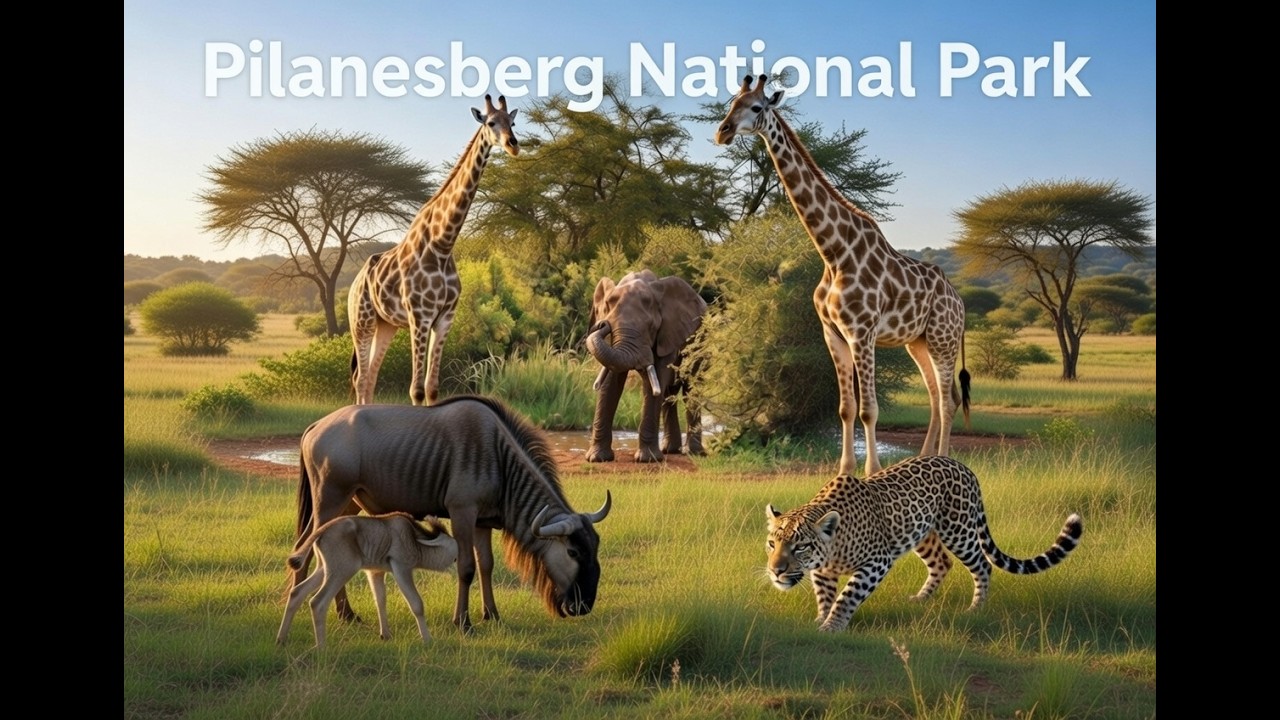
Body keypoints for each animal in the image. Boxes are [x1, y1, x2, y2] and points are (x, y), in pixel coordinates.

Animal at [584, 270, 707, 463]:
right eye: (608, 323)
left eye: (651, 327)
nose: (602, 324)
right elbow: (611, 382)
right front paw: (597, 458)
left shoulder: (667, 333)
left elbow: (654, 383)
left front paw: (647, 459)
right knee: (668, 394)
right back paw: (670, 450)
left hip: (702, 340)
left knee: (690, 388)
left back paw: (693, 453)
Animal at [765, 455, 1082, 632]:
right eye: (771, 544)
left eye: (800, 546)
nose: (775, 571)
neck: (834, 545)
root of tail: (964, 467)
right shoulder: (823, 571)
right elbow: (825, 596)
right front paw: (821, 619)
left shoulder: (877, 562)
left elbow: (847, 597)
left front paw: (832, 626)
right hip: (922, 534)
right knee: (942, 563)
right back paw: (922, 598)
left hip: (958, 530)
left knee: (982, 565)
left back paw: (976, 608)